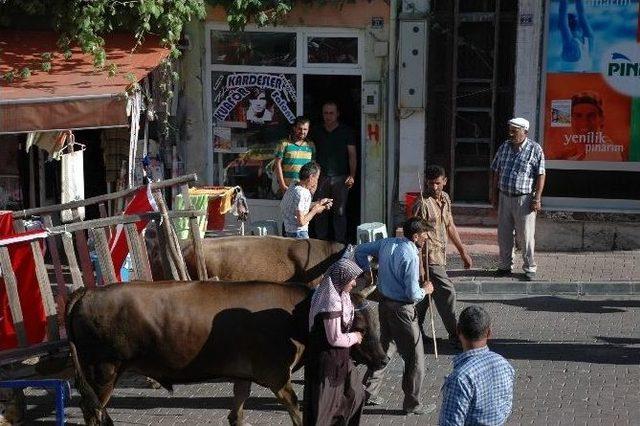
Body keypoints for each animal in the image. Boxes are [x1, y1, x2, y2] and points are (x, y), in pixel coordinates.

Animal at [65, 282, 384, 424]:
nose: (383, 358)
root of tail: (87, 291)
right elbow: (297, 411)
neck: (295, 317)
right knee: (91, 409)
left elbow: (236, 414)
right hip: (104, 369)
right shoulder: (277, 376)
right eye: (357, 324)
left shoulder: (243, 374)